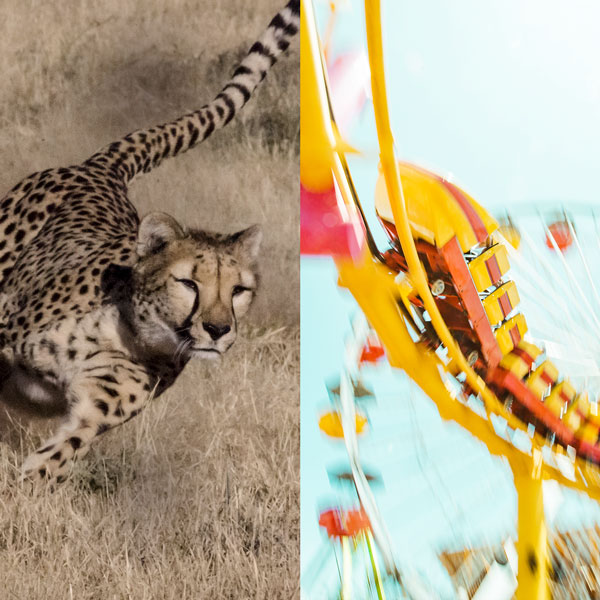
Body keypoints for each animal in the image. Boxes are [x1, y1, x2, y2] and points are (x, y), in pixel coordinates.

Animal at [0, 0, 300, 486]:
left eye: (239, 290)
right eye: (188, 283)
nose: (218, 330)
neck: (130, 334)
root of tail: (104, 169)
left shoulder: (91, 414)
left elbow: (55, 458)